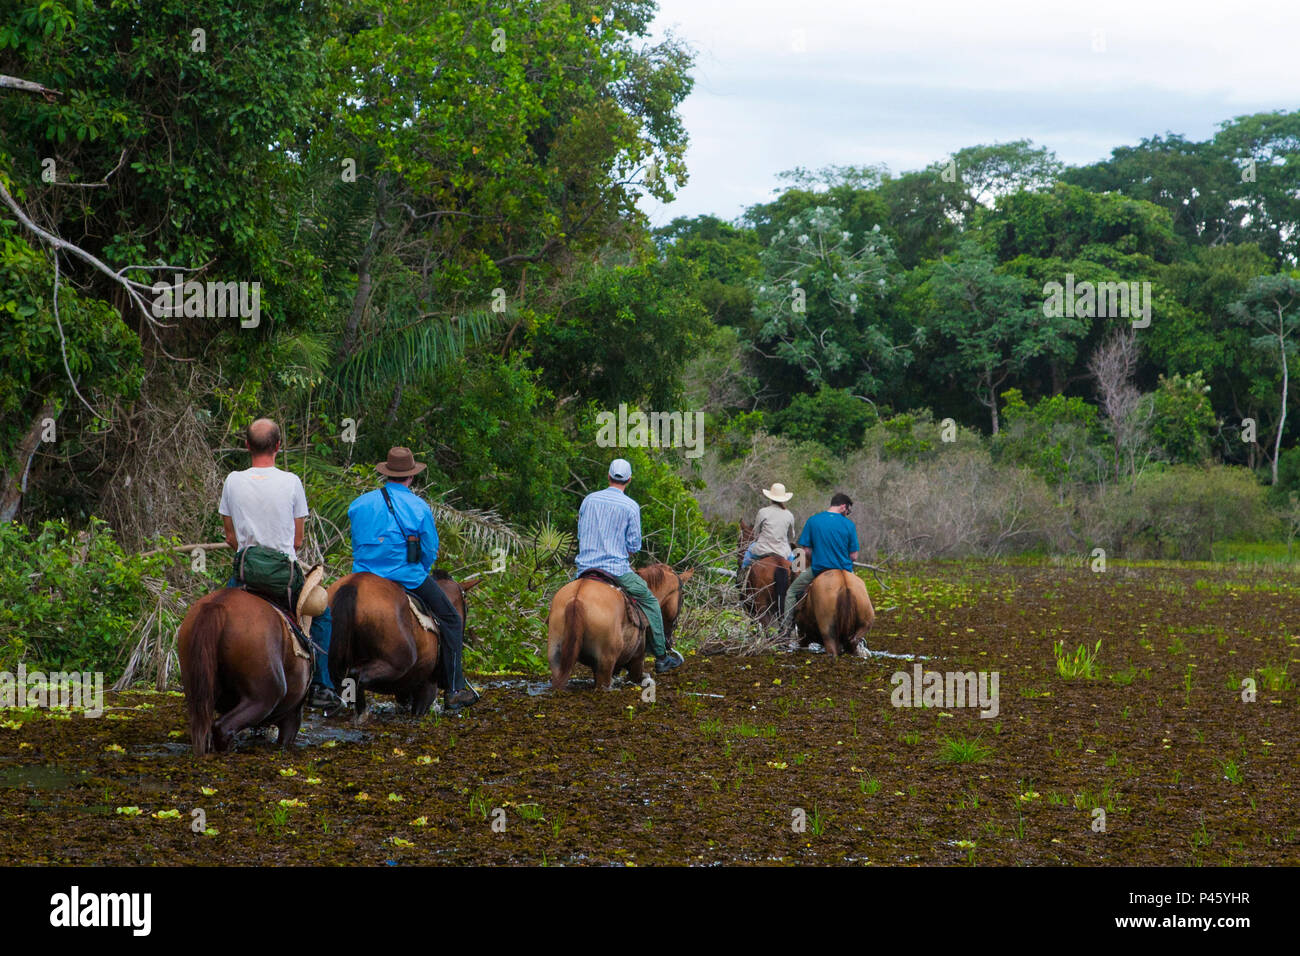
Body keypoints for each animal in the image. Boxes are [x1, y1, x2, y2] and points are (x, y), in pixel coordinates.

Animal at [327, 567, 480, 717]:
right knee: (357, 675)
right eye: (467, 608)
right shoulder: (427, 687)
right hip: (397, 663)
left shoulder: (403, 691)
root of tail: (354, 584)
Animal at [546, 564, 696, 691]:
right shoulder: (636, 661)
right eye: (682, 597)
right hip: (606, 663)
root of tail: (577, 598)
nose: (670, 639)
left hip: (556, 657)